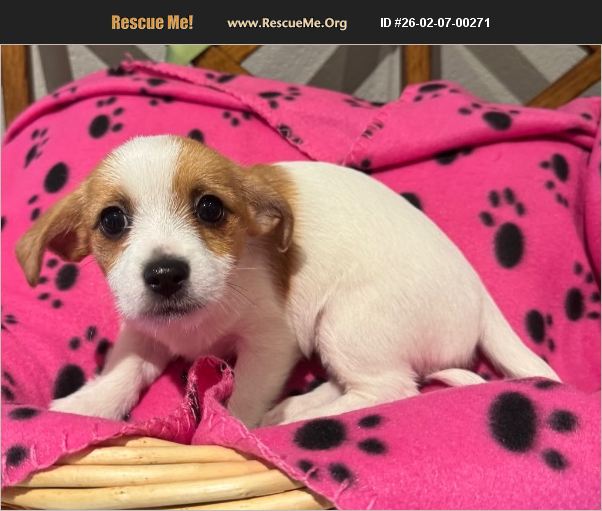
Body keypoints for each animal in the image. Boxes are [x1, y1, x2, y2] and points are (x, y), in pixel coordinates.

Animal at [16, 135, 560, 427]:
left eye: (210, 208)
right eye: (112, 221)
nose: (165, 274)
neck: (195, 325)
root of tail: (481, 296)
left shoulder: (272, 343)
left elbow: (244, 395)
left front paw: (233, 427)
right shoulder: (144, 328)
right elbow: (125, 370)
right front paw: (85, 406)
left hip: (346, 321)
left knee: (390, 388)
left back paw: (293, 416)